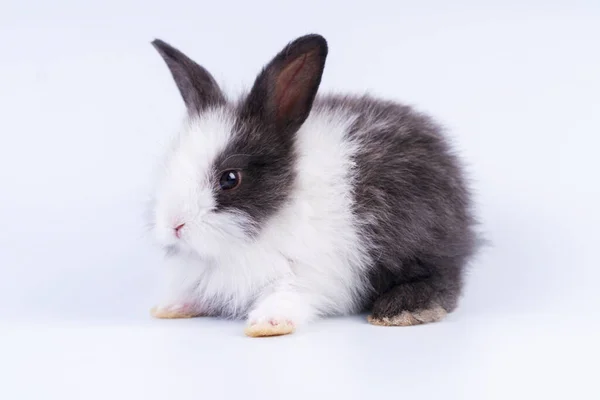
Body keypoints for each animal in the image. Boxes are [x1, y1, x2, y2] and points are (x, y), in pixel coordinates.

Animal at [149, 33, 478, 338]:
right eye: (171, 163)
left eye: (230, 178)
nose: (174, 225)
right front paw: (171, 307)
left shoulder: (305, 273)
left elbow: (287, 293)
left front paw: (267, 324)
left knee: (445, 277)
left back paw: (400, 310)